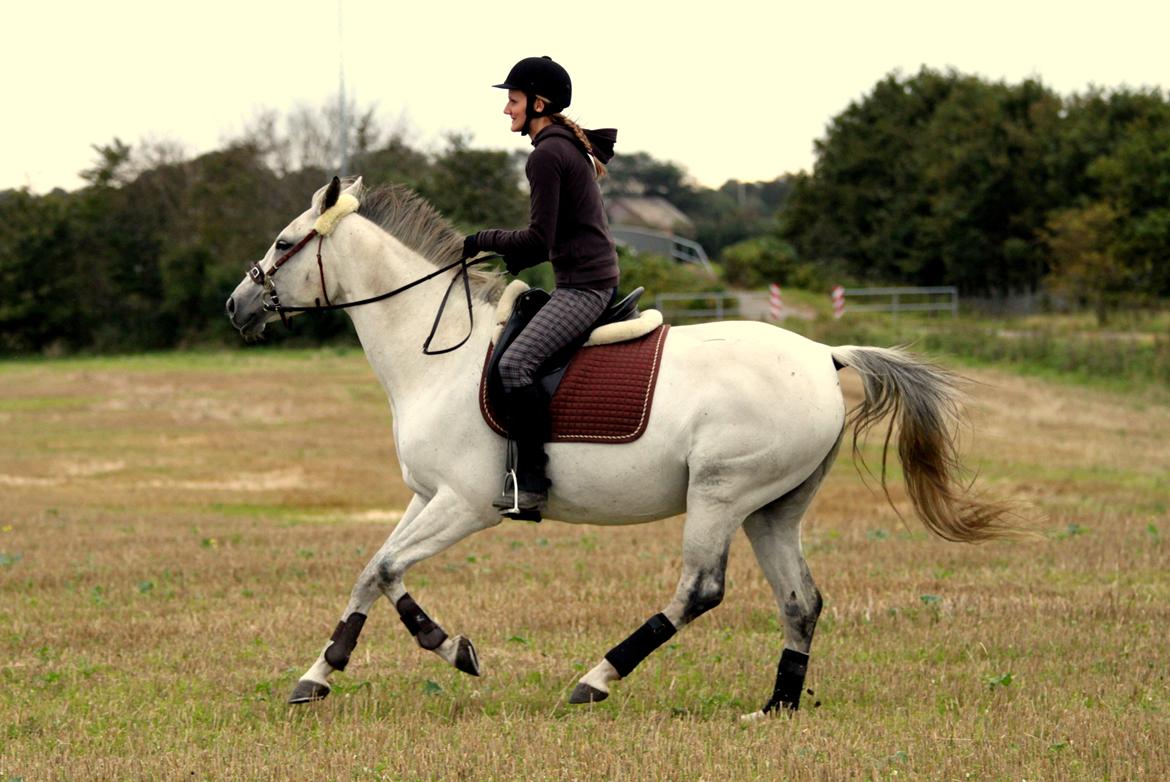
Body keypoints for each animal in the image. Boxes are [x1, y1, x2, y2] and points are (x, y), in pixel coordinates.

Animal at [228, 179, 1015, 721]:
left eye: (284, 242)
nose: (236, 306)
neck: (438, 351)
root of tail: (824, 356)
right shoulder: (426, 496)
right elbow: (371, 570)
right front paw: (319, 674)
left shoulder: (466, 503)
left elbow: (390, 569)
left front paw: (450, 649)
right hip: (773, 509)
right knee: (801, 602)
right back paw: (776, 708)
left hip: (721, 493)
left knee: (701, 591)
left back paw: (595, 678)